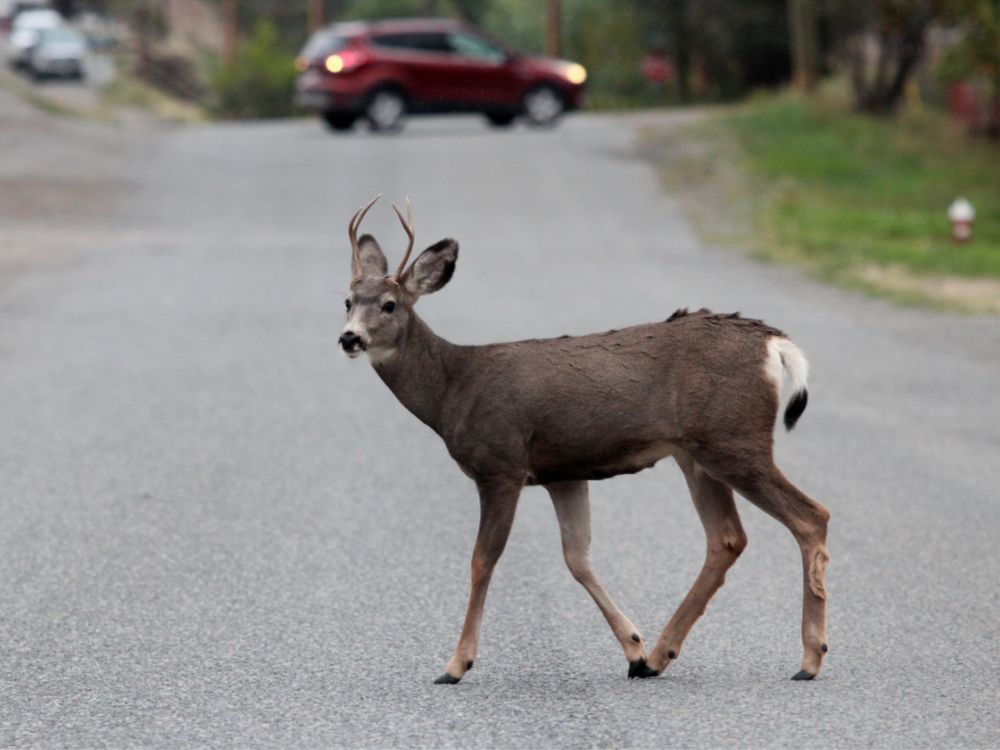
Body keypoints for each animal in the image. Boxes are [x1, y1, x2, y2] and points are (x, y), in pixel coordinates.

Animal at [337, 195, 830, 685]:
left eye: (388, 305)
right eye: (346, 301)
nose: (349, 338)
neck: (453, 390)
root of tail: (774, 344)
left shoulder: (501, 464)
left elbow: (482, 560)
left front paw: (456, 664)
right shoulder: (564, 473)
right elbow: (577, 557)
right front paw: (634, 648)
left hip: (734, 439)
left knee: (811, 516)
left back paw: (810, 658)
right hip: (698, 454)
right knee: (727, 538)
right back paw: (659, 657)